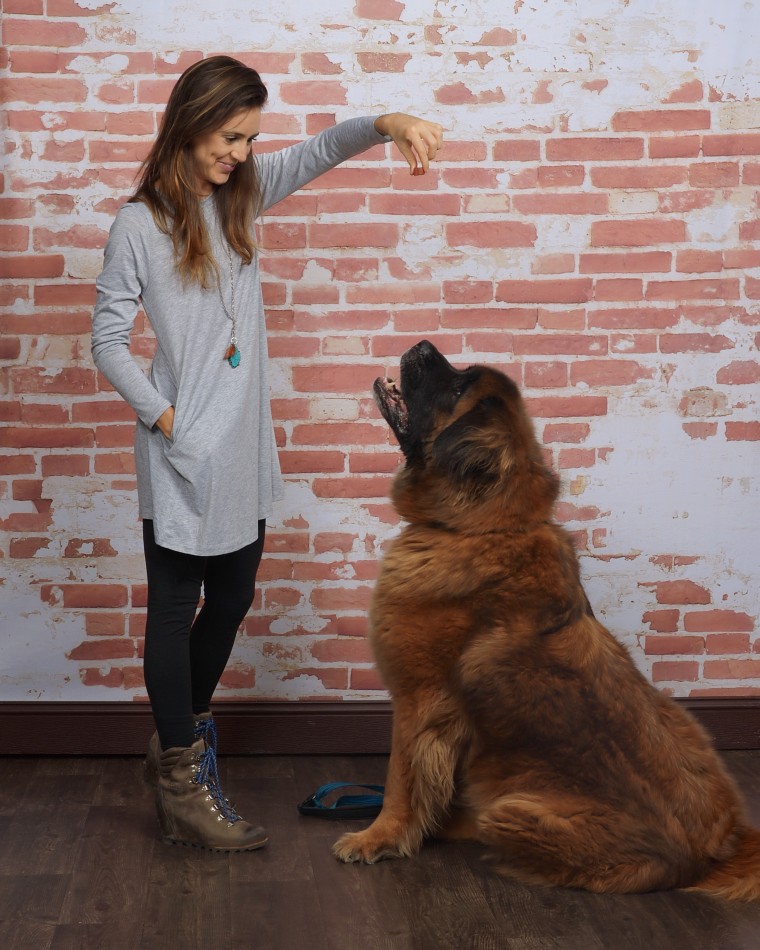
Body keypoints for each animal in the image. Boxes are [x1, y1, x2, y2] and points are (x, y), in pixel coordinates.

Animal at [334, 340, 760, 900]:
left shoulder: (418, 701)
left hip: (514, 811)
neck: (478, 527)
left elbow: (399, 780)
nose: (423, 346)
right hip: (684, 724)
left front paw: (378, 836)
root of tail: (712, 855)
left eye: (456, 385)